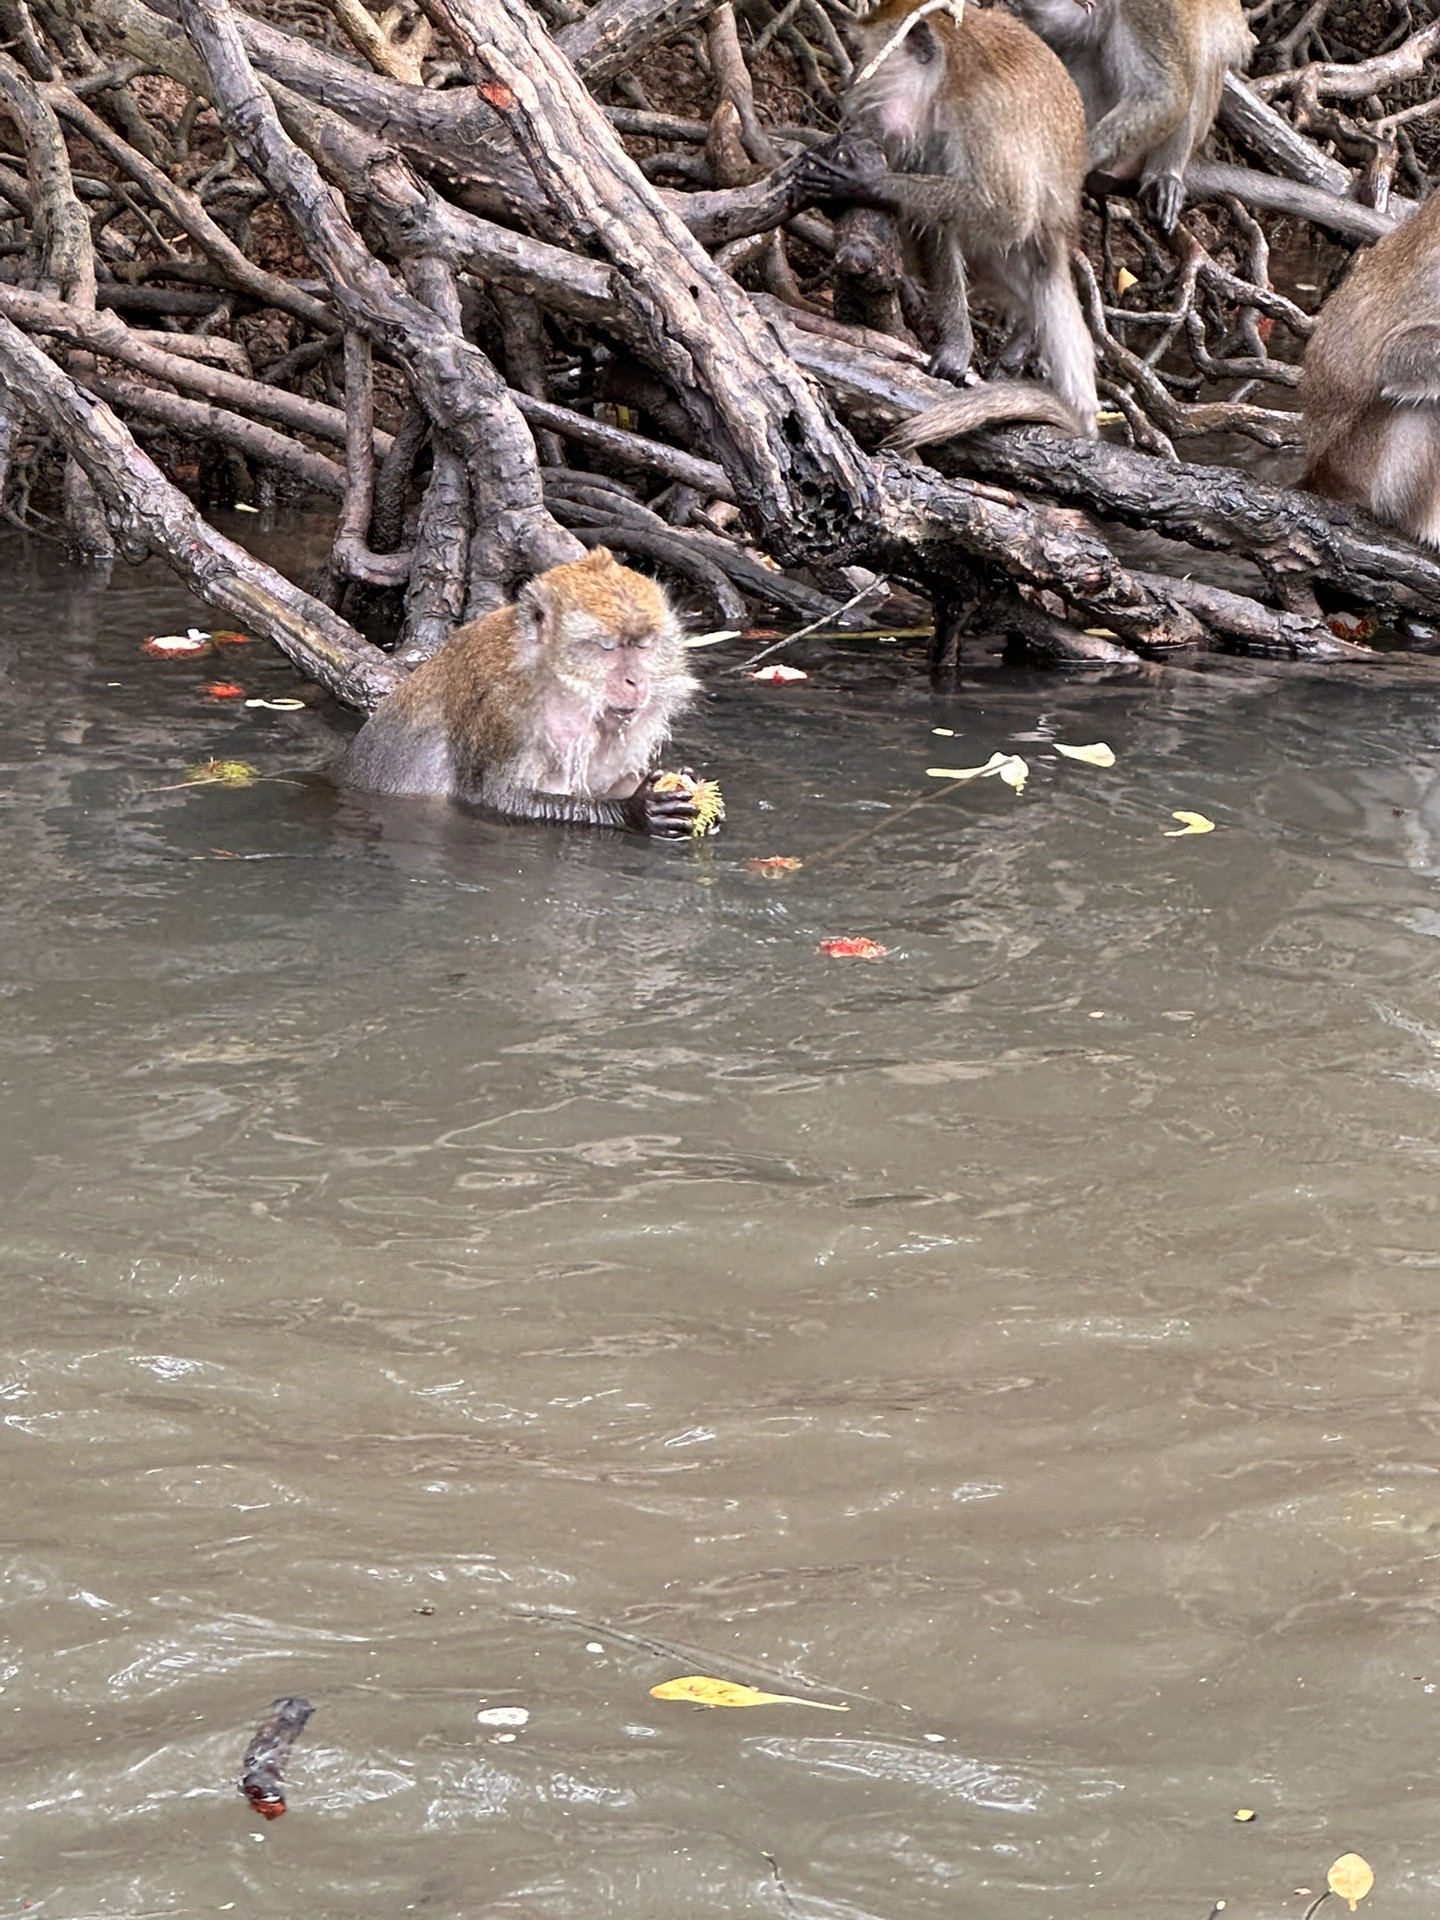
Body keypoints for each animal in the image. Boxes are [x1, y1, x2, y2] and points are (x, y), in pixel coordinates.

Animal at [332, 549, 706, 833]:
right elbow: (497, 800)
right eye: (608, 647)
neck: (544, 678)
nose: (635, 681)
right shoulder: (500, 714)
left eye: (643, 645)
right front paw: (633, 810)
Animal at [794, 0, 1098, 435]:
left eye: (870, 56)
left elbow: (1006, 214)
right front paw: (957, 347)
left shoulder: (984, 117)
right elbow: (936, 226)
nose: (853, 83)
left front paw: (863, 184)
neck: (948, 77)